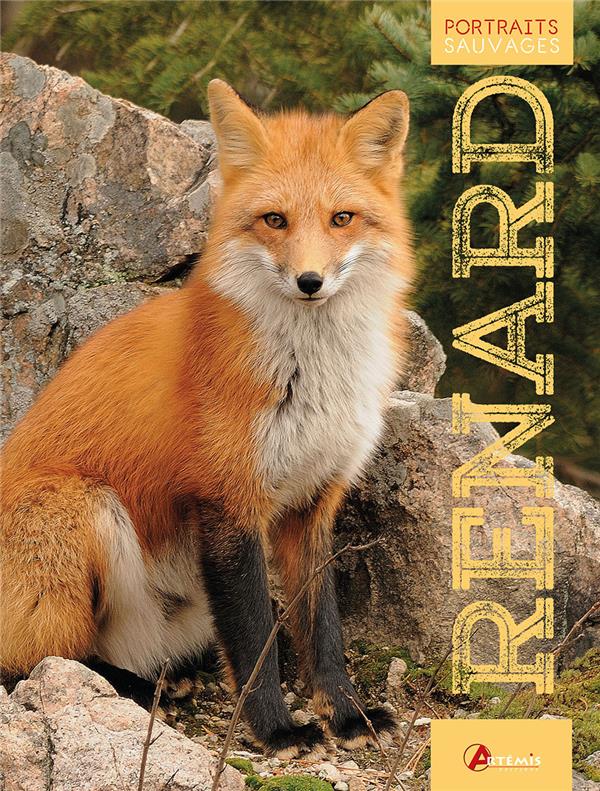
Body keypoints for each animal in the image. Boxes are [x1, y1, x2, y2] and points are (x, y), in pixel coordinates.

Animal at [0, 79, 413, 756]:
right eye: (275, 220)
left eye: (342, 218)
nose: (310, 280)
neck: (310, 376)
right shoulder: (228, 499)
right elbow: (252, 636)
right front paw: (276, 729)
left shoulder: (314, 503)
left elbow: (322, 627)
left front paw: (345, 714)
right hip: (85, 509)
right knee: (39, 661)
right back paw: (134, 690)